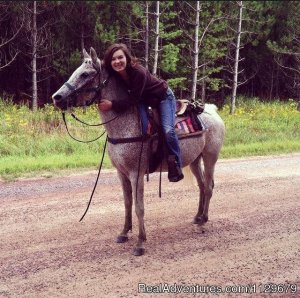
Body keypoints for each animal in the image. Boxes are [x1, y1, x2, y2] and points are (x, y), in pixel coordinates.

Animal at [52, 47, 225, 256]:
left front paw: (141, 242)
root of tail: (212, 110)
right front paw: (124, 233)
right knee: (201, 186)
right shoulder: (122, 173)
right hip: (194, 160)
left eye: (85, 74)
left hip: (210, 157)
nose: (56, 98)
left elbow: (139, 206)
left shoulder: (137, 173)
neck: (125, 125)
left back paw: (203, 222)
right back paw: (198, 217)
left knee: (209, 186)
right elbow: (127, 203)